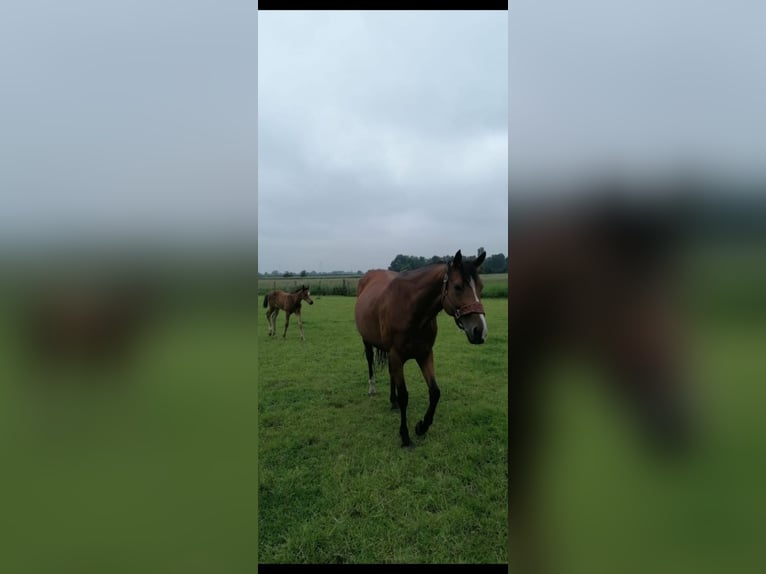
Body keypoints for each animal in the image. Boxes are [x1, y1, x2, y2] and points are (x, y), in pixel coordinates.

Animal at [356, 250, 488, 448]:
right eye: (457, 287)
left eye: (480, 287)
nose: (480, 331)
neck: (411, 311)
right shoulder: (397, 356)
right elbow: (404, 396)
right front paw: (405, 436)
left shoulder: (425, 354)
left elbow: (435, 392)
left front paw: (421, 427)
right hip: (368, 341)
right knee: (370, 361)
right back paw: (372, 389)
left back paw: (392, 402)